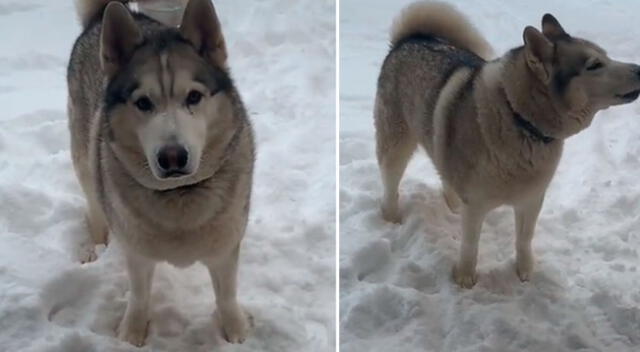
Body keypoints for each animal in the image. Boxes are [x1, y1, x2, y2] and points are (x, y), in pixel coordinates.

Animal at [67, 0, 252, 346]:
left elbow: (226, 294)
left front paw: (236, 331)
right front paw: (132, 333)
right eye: (143, 103)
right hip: (85, 160)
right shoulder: (136, 251)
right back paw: (95, 249)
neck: (180, 195)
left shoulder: (225, 245)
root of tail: (102, 16)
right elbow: (140, 295)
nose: (172, 156)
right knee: (95, 206)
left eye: (194, 97)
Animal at [376, 1, 640, 288]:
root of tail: (410, 38)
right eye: (594, 65)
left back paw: (452, 205)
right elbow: (470, 244)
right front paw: (465, 277)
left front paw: (524, 271)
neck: (520, 121)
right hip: (396, 144)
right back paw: (392, 217)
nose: (639, 68)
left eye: (606, 55)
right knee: (391, 182)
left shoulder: (531, 198)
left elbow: (525, 238)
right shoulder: (476, 204)